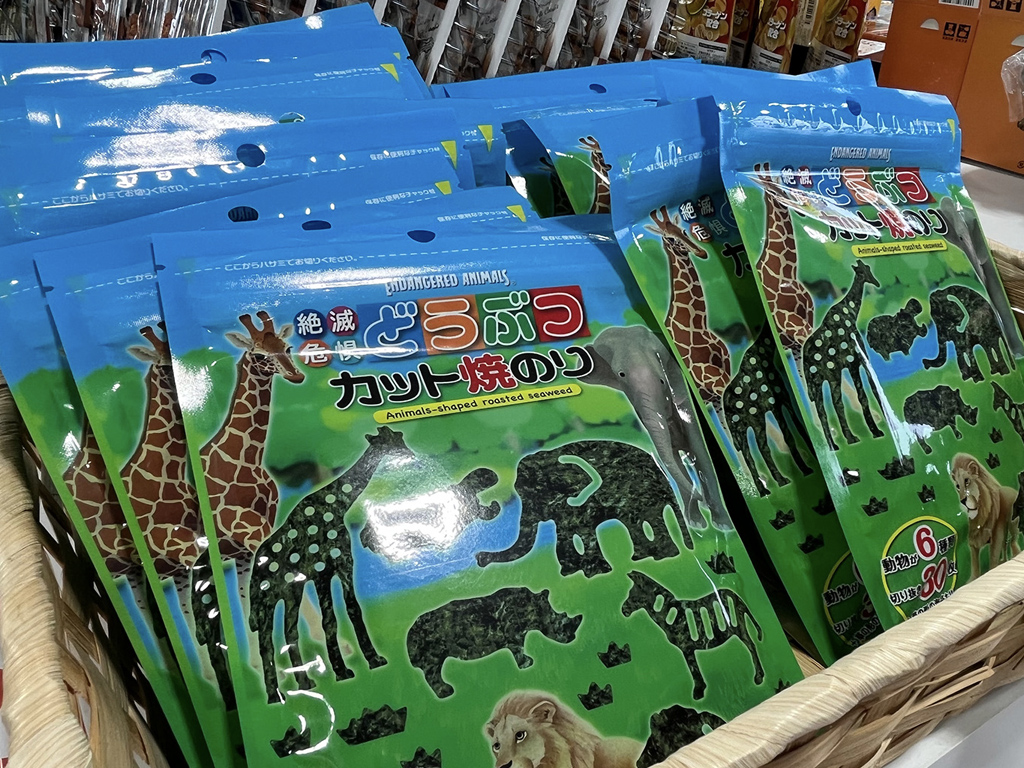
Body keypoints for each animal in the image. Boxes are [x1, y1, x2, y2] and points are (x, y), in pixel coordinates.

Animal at [200, 311, 304, 598]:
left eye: (287, 347)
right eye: (258, 354)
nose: (296, 376)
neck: (250, 460)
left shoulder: (251, 541)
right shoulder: (244, 529)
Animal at [577, 325, 731, 530]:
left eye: (662, 381)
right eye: (621, 374)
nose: (701, 499)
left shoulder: (683, 397)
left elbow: (701, 454)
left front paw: (723, 525)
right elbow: (672, 457)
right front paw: (696, 522)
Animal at [723, 323, 814, 496]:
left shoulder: (779, 402)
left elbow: (792, 434)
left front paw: (806, 467)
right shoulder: (779, 401)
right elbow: (792, 433)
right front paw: (807, 466)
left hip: (746, 427)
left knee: (753, 454)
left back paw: (769, 487)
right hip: (750, 423)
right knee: (757, 451)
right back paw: (775, 485)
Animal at [803, 260, 885, 451]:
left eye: (868, 268)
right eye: (862, 271)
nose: (876, 282)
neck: (851, 312)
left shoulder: (852, 365)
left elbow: (864, 395)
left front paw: (876, 430)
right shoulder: (857, 361)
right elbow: (869, 393)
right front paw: (879, 430)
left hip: (819, 381)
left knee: (823, 410)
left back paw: (835, 444)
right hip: (830, 375)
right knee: (834, 404)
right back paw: (849, 439)